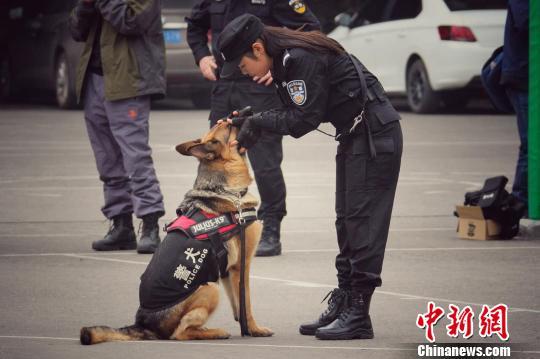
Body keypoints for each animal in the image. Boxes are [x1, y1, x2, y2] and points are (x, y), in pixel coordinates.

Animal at [79, 122, 274, 344]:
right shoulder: (242, 266)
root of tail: (143, 323)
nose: (242, 116)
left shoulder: (227, 270)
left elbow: (238, 305)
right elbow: (246, 304)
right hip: (209, 288)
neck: (224, 188)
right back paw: (214, 332)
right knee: (179, 333)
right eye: (228, 125)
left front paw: (245, 327)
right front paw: (255, 329)